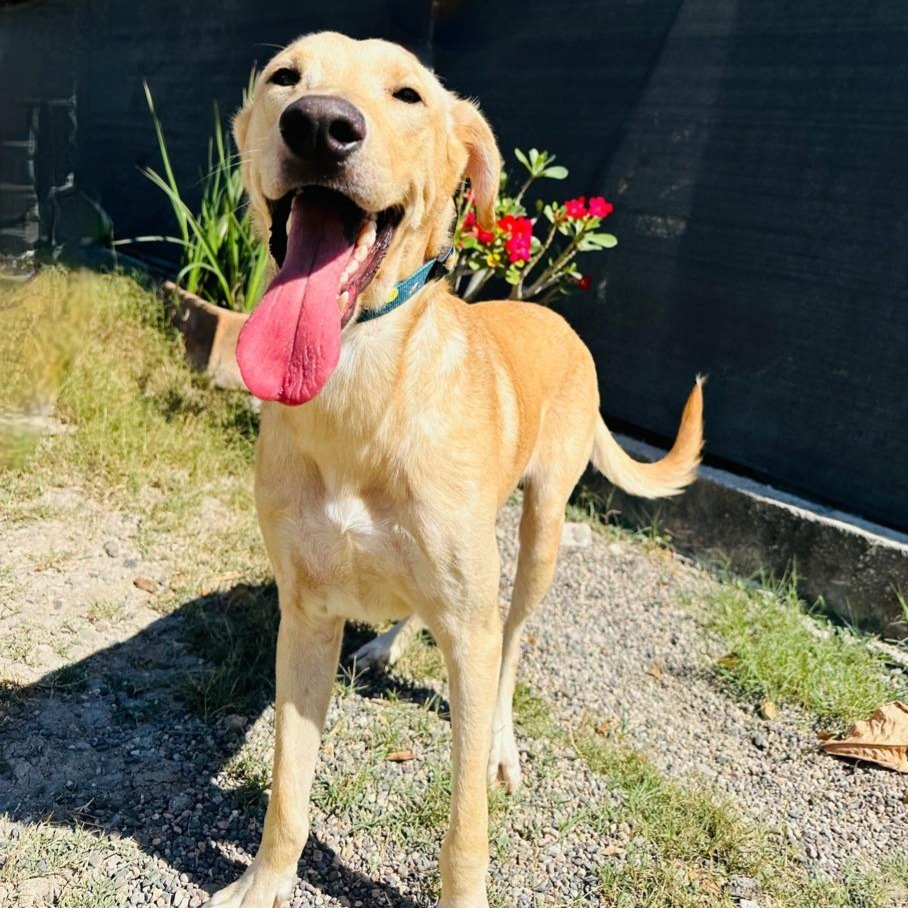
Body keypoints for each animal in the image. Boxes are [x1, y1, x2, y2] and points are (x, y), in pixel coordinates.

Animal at [211, 28, 704, 908]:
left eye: (407, 95)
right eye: (285, 77)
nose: (320, 125)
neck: (362, 389)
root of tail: (550, 316)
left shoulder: (467, 633)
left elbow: (466, 823)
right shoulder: (305, 616)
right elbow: (288, 790)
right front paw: (265, 882)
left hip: (540, 535)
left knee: (509, 642)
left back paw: (502, 739)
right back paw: (388, 643)